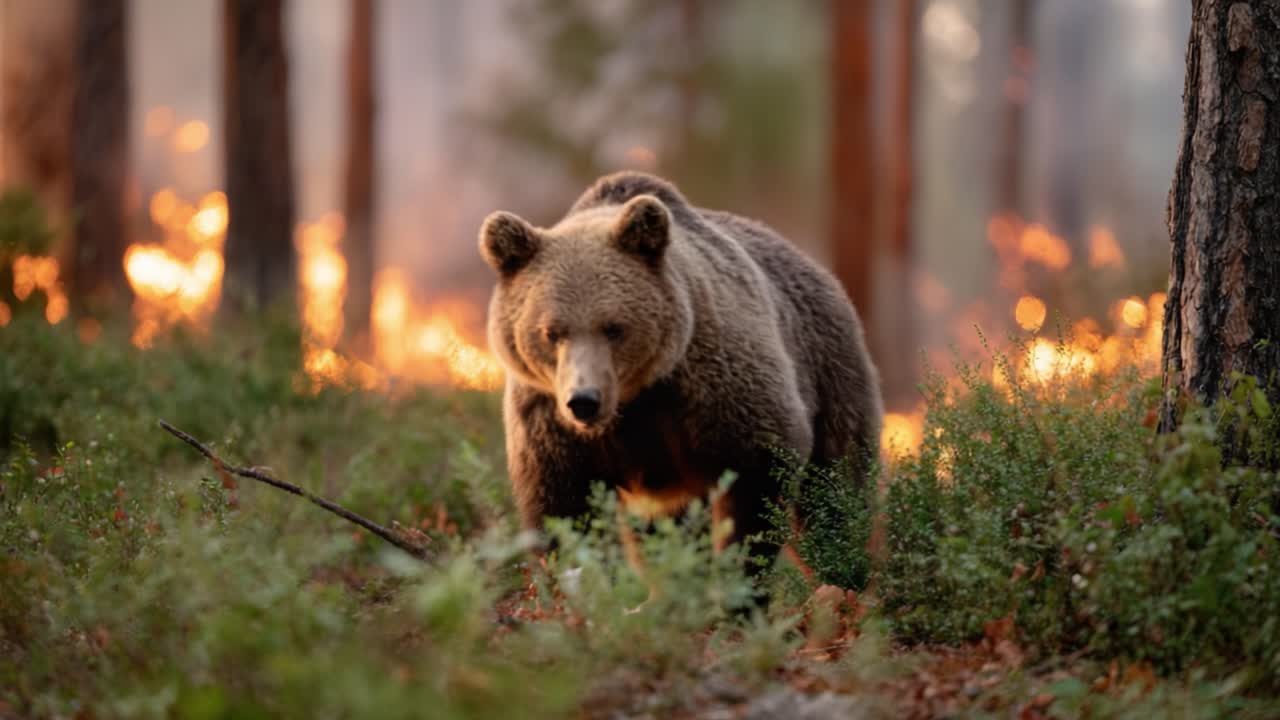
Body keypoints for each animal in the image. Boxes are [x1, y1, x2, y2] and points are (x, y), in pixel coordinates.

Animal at [478, 171, 883, 578]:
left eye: (613, 327)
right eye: (551, 332)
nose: (584, 401)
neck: (635, 399)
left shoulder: (715, 391)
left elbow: (759, 478)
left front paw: (739, 574)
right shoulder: (550, 423)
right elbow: (565, 511)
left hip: (828, 372)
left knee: (834, 487)